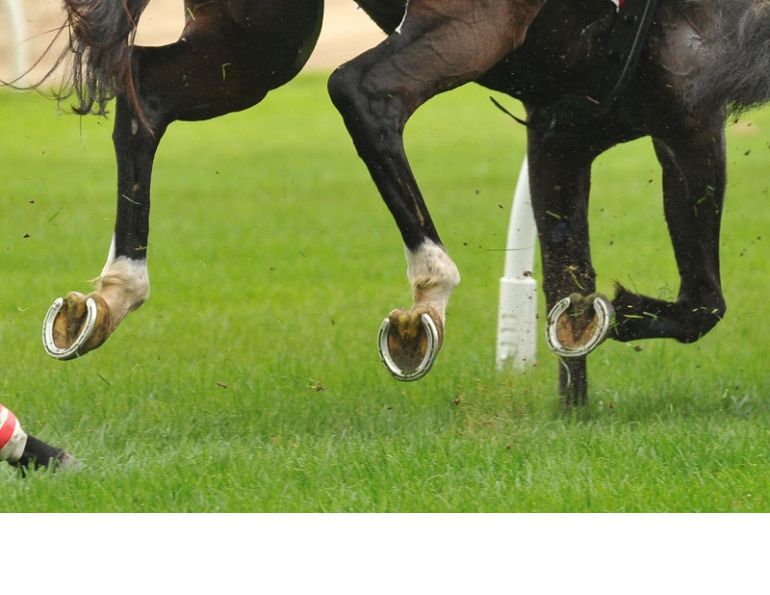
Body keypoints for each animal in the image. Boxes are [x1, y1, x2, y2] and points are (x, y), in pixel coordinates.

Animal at [42, 0, 770, 405]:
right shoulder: (690, 122)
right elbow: (701, 301)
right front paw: (608, 317)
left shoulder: (562, 135)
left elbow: (570, 282)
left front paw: (575, 383)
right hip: (470, 23)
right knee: (363, 91)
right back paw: (428, 294)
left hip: (259, 44)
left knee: (146, 94)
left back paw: (111, 294)